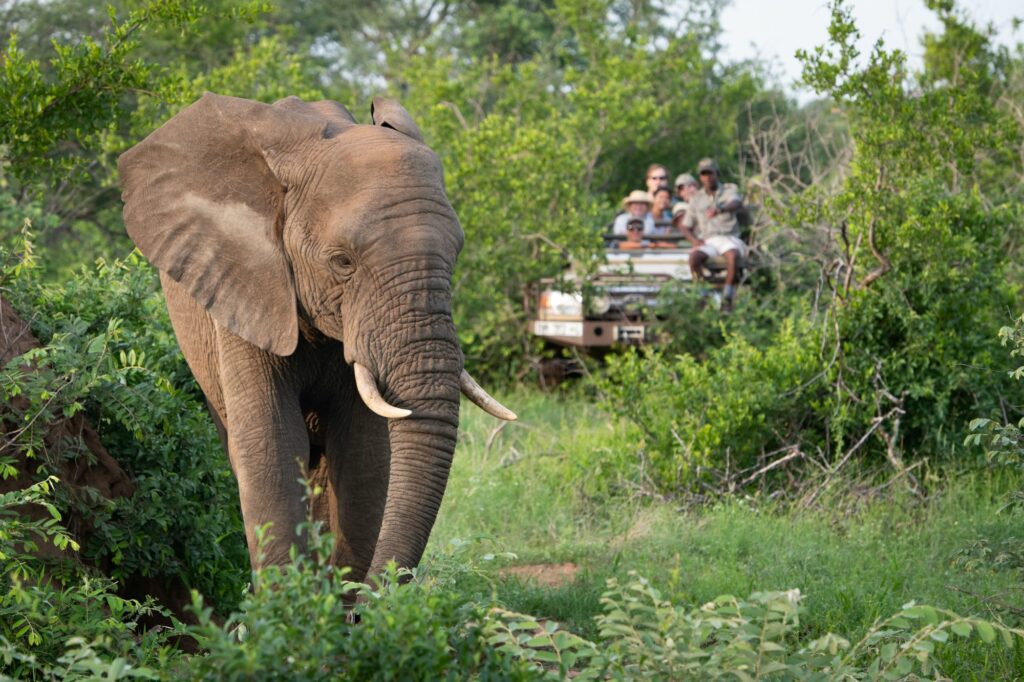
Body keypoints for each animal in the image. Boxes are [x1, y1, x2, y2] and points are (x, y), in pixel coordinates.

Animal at [119, 91, 516, 577]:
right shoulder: (244, 291)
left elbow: (364, 460)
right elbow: (270, 450)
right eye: (343, 261)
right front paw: (291, 599)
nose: (380, 587)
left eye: (455, 254)